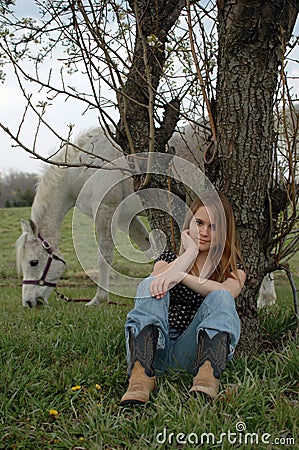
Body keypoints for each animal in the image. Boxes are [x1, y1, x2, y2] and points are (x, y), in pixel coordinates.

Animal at [15, 128, 151, 308]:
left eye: (34, 262)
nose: (29, 303)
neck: (82, 171)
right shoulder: (126, 218)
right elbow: (151, 247)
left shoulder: (105, 211)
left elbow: (104, 256)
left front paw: (99, 299)